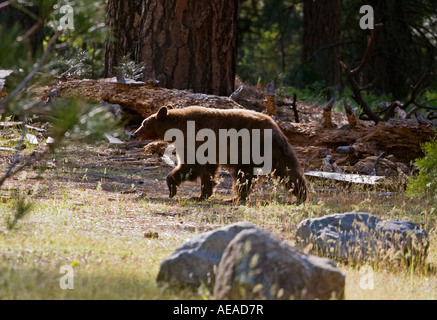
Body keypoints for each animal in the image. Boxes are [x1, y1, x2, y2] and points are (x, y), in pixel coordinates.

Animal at [133, 106, 306, 204]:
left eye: (143, 123)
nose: (135, 133)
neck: (178, 128)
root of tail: (276, 130)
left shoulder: (195, 140)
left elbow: (191, 166)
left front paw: (172, 188)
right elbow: (206, 171)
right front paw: (202, 194)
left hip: (249, 149)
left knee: (244, 176)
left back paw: (235, 197)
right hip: (277, 153)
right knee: (288, 172)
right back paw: (301, 194)